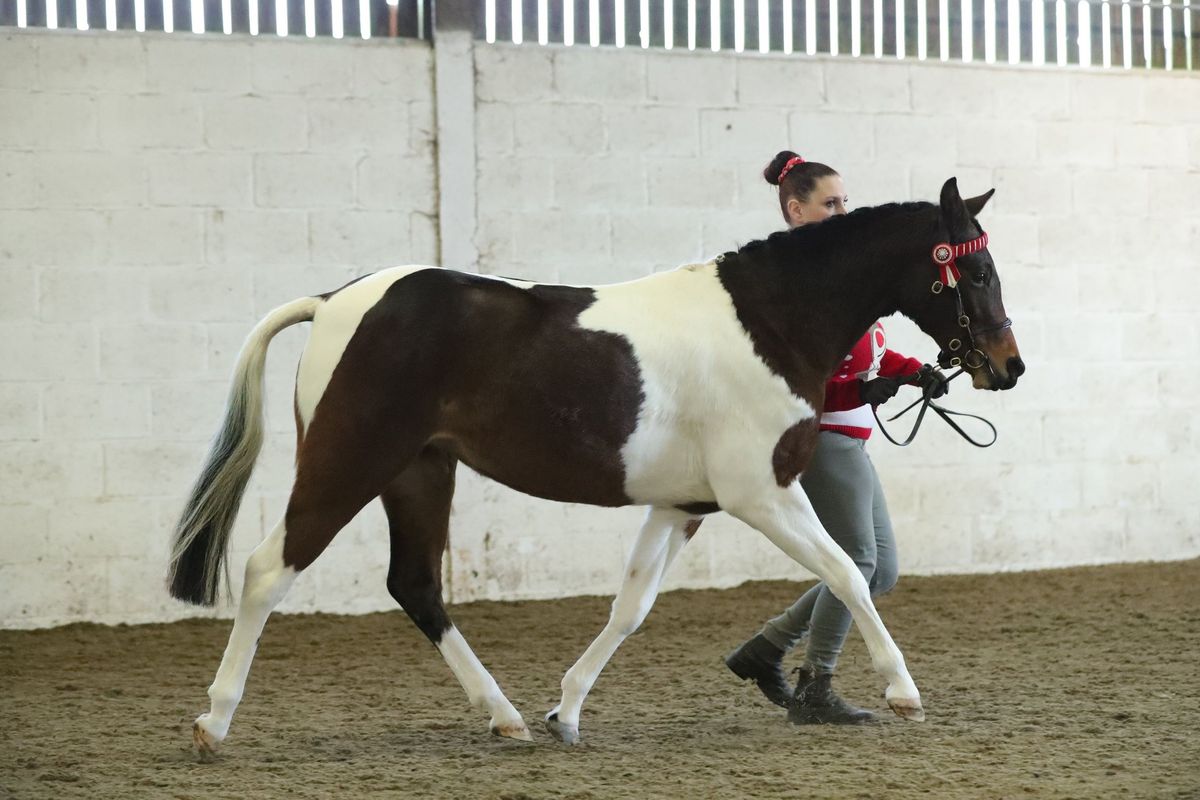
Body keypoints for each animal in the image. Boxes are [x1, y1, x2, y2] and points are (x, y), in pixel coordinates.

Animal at [166, 176, 1022, 758]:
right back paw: (214, 722)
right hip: (350, 462)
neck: (772, 323)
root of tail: (334, 301)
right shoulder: (763, 494)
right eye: (977, 272)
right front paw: (903, 692)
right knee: (267, 571)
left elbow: (630, 608)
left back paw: (507, 718)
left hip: (420, 473)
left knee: (415, 586)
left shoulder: (682, 506)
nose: (1007, 368)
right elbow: (847, 572)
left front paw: (567, 712)